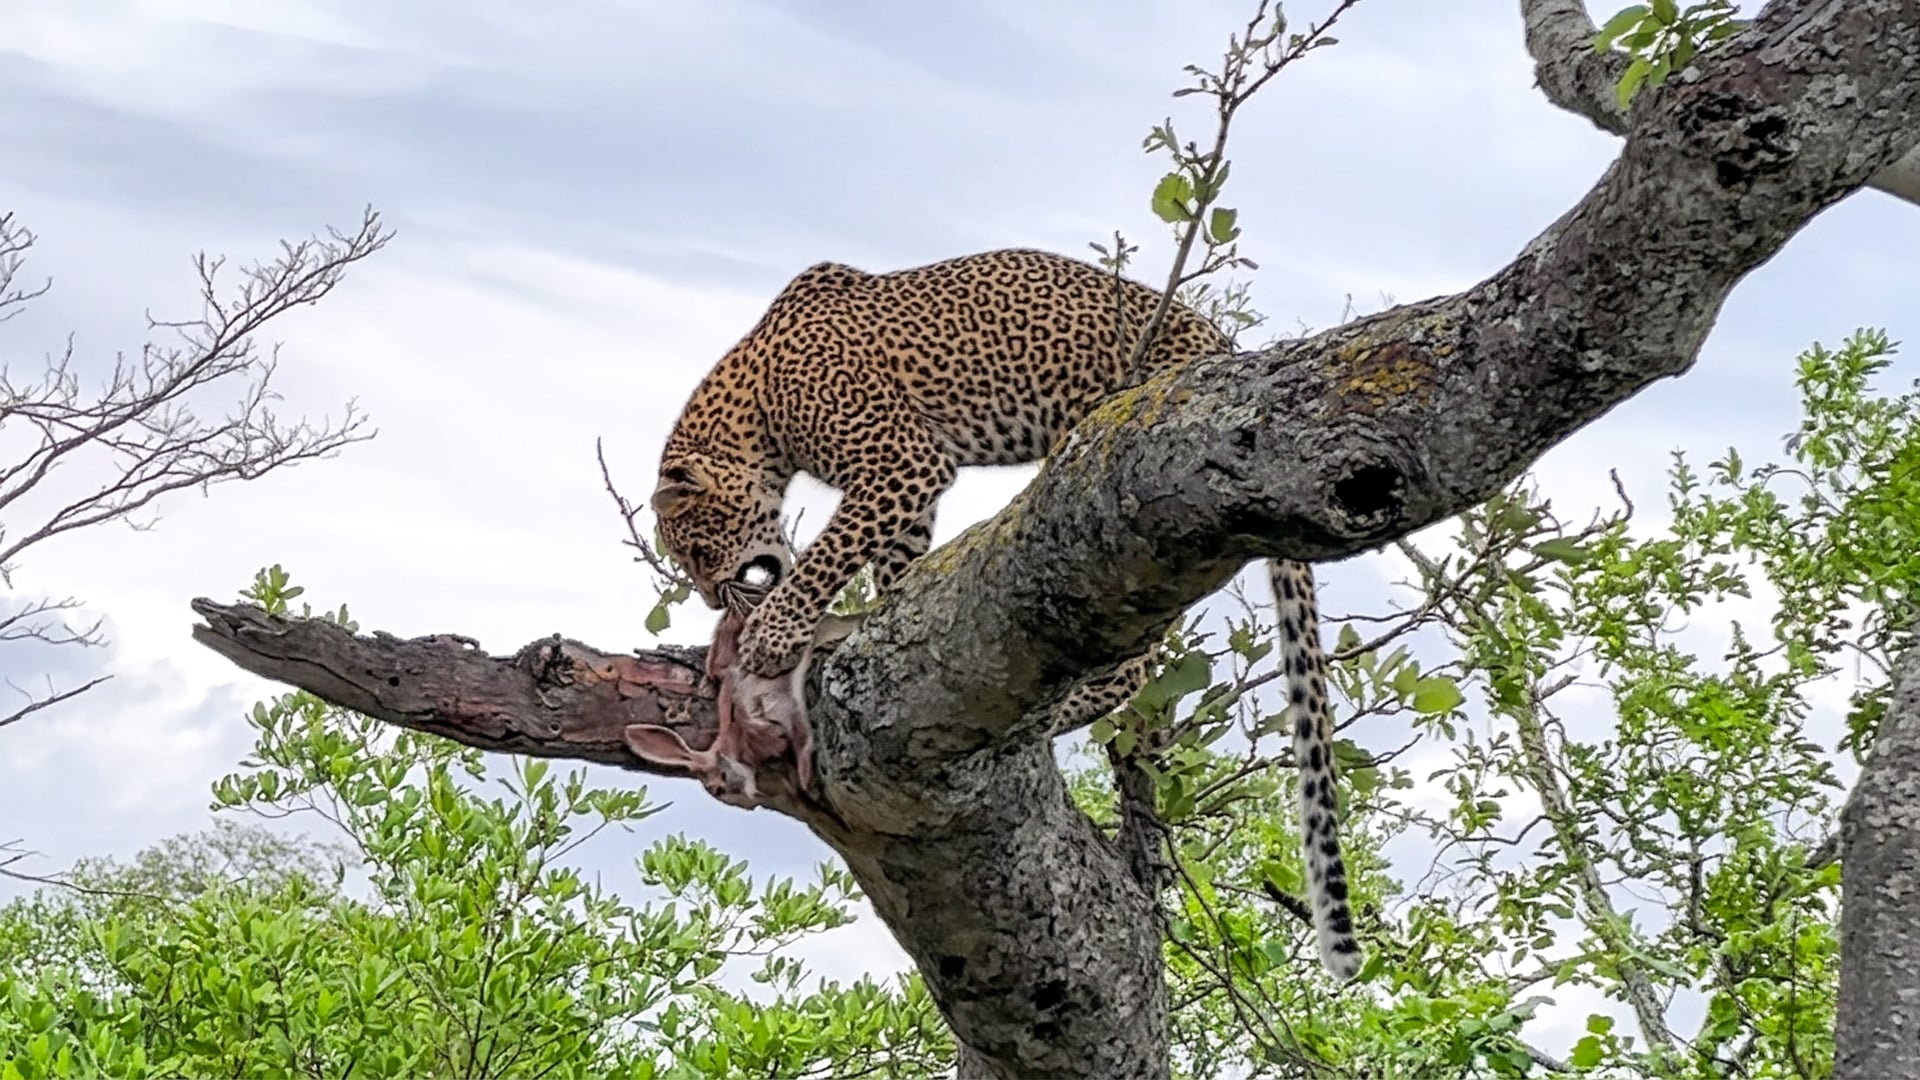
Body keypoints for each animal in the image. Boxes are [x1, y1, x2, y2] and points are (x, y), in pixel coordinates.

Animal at [642, 247, 1361, 982]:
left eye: (697, 550)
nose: (711, 598)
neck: (758, 402)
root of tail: (1227, 350)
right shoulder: (906, 485)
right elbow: (893, 563)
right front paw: (882, 610)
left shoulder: (899, 460)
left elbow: (830, 552)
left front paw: (773, 634)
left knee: (1134, 649)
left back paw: (1062, 707)